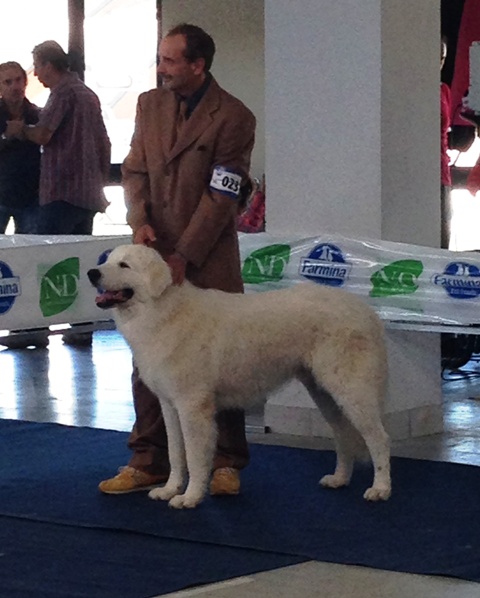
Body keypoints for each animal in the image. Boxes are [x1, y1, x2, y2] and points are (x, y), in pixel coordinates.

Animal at [88, 244, 391, 509]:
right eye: (107, 260)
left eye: (124, 265)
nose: (92, 273)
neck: (163, 312)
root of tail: (367, 312)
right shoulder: (170, 405)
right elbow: (175, 453)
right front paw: (169, 490)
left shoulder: (192, 407)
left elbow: (195, 457)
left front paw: (190, 498)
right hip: (325, 394)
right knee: (343, 435)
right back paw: (339, 479)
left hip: (351, 391)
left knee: (379, 438)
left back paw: (380, 489)